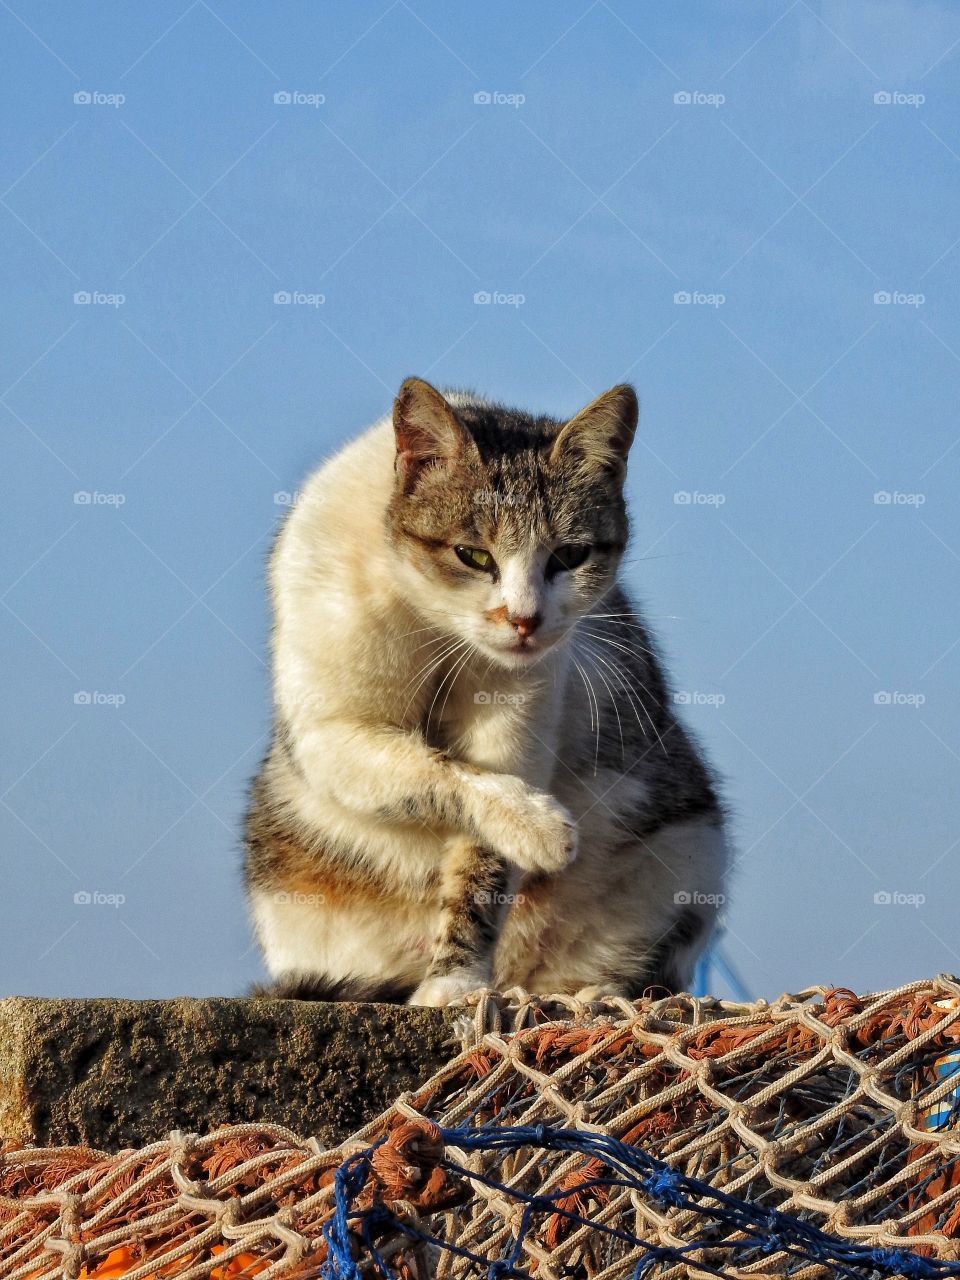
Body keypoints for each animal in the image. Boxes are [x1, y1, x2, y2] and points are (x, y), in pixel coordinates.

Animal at [244, 373, 727, 1003]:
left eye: (570, 555)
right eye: (473, 555)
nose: (524, 620)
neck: (438, 629)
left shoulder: (520, 728)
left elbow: (481, 867)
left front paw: (457, 981)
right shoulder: (330, 731)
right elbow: (438, 771)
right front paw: (541, 829)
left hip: (689, 850)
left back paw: (586, 993)